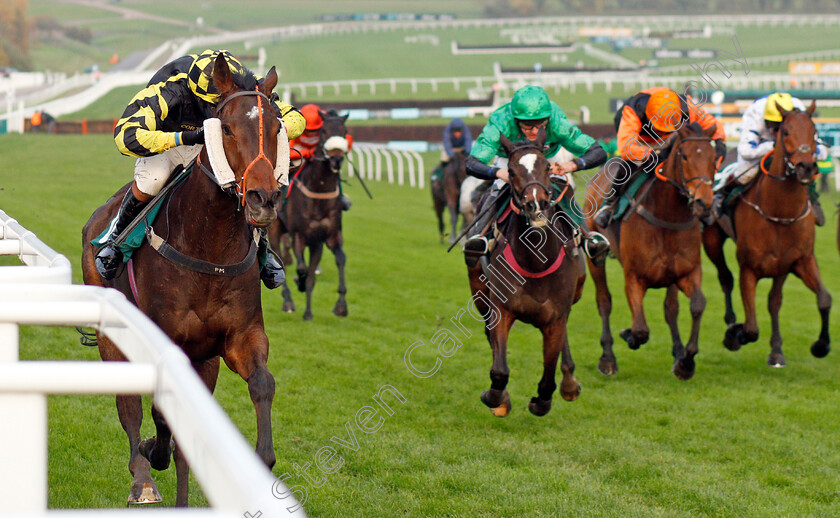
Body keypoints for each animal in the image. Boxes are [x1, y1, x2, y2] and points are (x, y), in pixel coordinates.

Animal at [82, 55, 286, 508]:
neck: (209, 248)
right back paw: (142, 476)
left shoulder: (238, 337)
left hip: (203, 360)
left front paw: (262, 460)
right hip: (114, 339)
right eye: (225, 128)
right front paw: (151, 453)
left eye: (278, 127)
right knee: (130, 408)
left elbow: (263, 383)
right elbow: (159, 414)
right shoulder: (162, 343)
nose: (263, 198)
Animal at [270, 109, 348, 320]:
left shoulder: (327, 237)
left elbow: (340, 259)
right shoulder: (299, 235)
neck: (319, 191)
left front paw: (340, 305)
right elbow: (302, 268)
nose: (336, 159)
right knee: (281, 258)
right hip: (275, 230)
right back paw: (288, 300)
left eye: (345, 132)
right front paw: (300, 282)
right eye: (324, 131)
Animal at [466, 130, 584, 418]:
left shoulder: (556, 317)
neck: (536, 262)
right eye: (510, 170)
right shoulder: (501, 309)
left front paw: (543, 400)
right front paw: (497, 399)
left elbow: (548, 378)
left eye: (547, 167)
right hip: (479, 291)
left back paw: (569, 383)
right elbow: (499, 371)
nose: (535, 205)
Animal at [584, 123, 716, 380]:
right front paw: (628, 335)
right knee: (604, 301)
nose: (704, 203)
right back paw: (607, 358)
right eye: (685, 156)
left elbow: (696, 305)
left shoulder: (686, 272)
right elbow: (640, 329)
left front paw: (686, 361)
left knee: (671, 309)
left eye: (714, 158)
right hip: (595, 256)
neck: (667, 216)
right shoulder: (634, 277)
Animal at [700, 101, 832, 368]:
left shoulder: (797, 261)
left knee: (772, 300)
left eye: (814, 131)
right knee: (725, 277)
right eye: (786, 132)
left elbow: (820, 299)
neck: (779, 212)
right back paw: (731, 322)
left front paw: (818, 346)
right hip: (711, 240)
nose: (805, 167)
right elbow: (751, 328)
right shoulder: (749, 268)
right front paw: (735, 334)